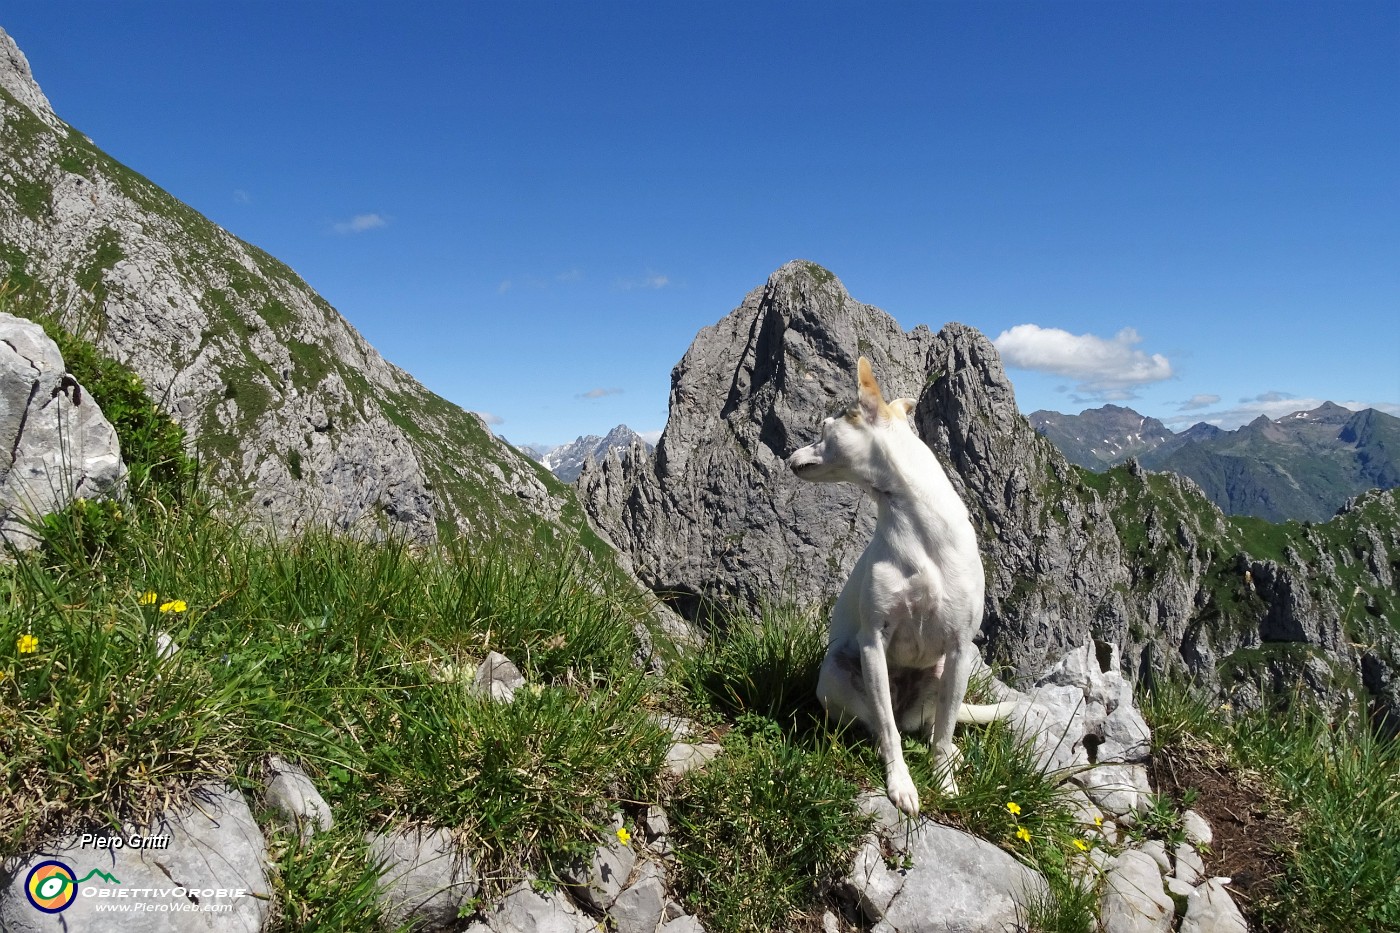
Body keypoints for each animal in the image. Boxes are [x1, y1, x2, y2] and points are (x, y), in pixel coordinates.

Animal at [789, 355, 1008, 812]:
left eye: (824, 429)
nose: (790, 457)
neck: (917, 527)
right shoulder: (875, 642)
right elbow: (887, 730)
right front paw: (901, 784)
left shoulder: (959, 648)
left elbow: (944, 730)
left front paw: (945, 782)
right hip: (836, 673)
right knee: (881, 723)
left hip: (944, 676)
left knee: (932, 727)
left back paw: (951, 753)